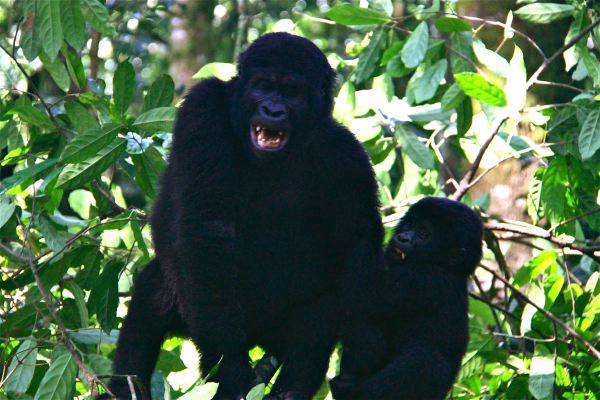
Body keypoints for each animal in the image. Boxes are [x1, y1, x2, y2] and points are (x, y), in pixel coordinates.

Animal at [101, 33, 382, 400]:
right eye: (264, 86)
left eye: (291, 92)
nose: (272, 110)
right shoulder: (202, 111)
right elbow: (207, 226)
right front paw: (229, 369)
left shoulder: (345, 158)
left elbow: (357, 245)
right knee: (154, 294)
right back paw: (126, 387)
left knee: (322, 311)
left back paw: (289, 390)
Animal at [330, 198, 486, 400]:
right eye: (410, 224)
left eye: (423, 233)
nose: (403, 237)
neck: (448, 267)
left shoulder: (425, 279)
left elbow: (363, 291)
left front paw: (370, 221)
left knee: (426, 360)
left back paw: (354, 392)